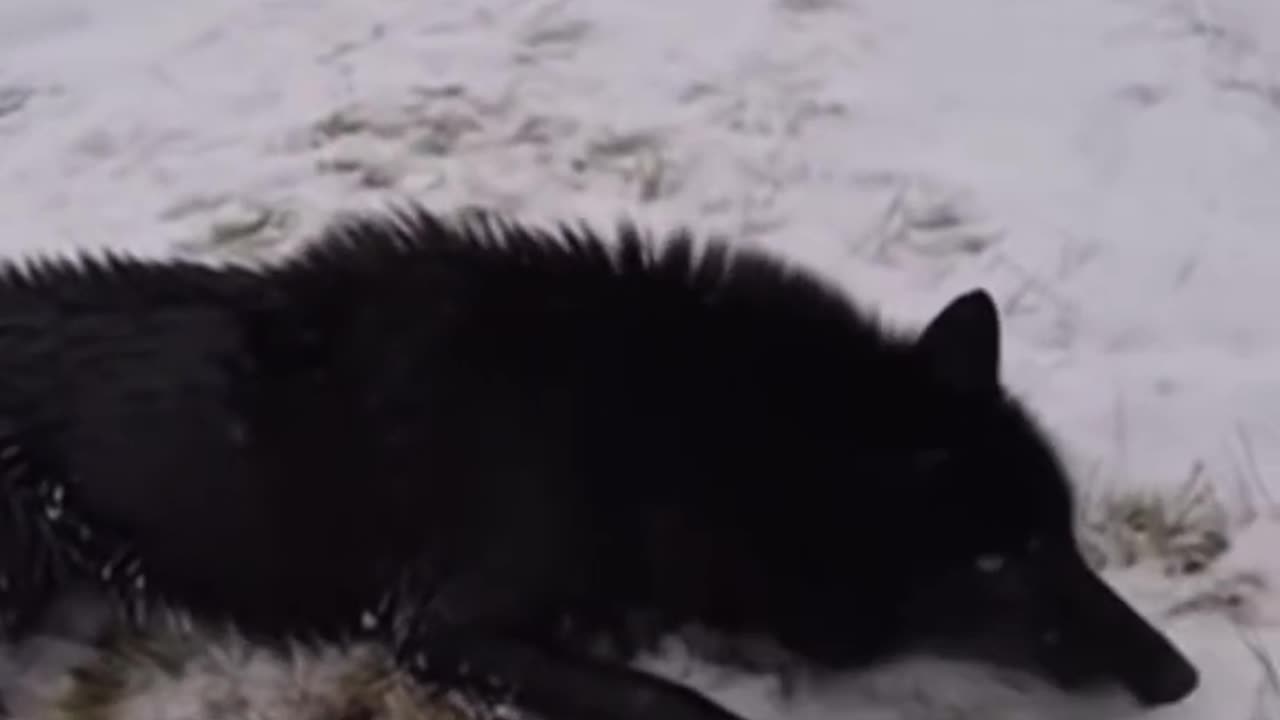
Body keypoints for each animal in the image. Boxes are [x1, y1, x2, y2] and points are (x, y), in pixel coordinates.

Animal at [0, 206, 1197, 720]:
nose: (1182, 679)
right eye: (999, 562)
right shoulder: (439, 633)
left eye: (1065, 536)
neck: (653, 427)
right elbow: (687, 709)